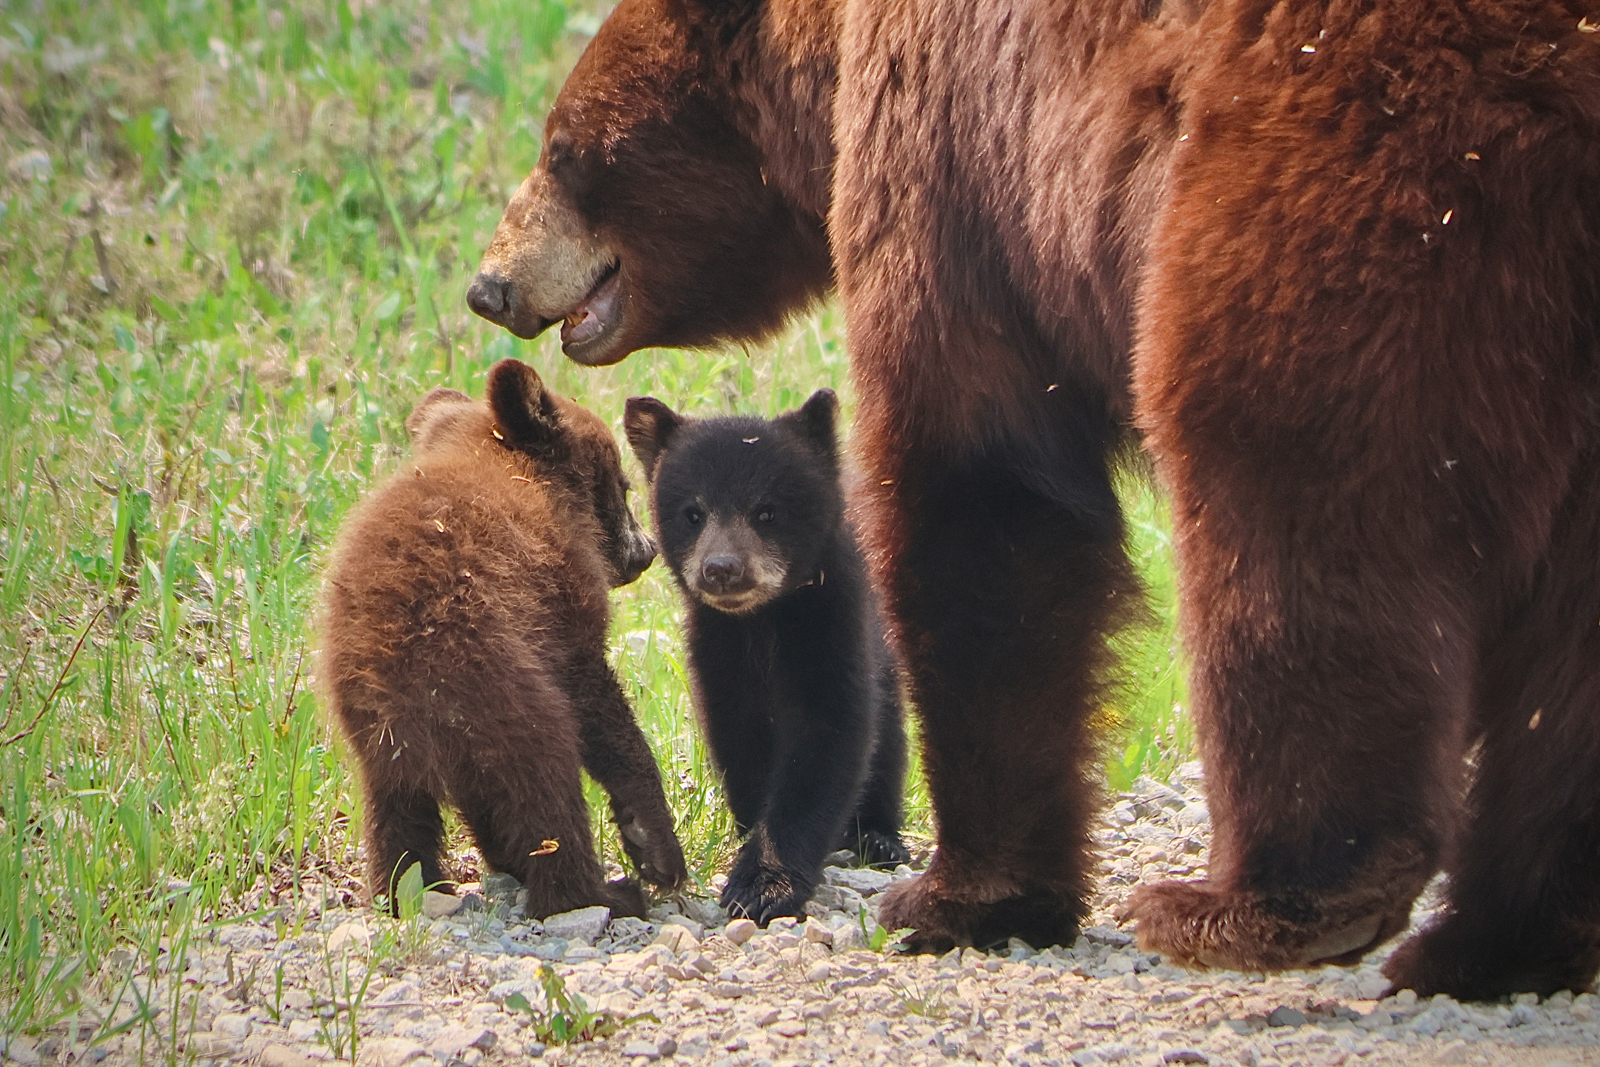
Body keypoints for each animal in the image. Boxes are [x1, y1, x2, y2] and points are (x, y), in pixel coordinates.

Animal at [317, 358, 688, 917]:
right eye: (623, 485)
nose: (646, 552)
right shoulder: (560, 598)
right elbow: (598, 699)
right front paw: (654, 843)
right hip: (503, 692)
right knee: (547, 787)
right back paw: (601, 893)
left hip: (380, 743)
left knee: (401, 817)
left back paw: (410, 890)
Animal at [623, 388, 911, 923]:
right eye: (693, 512)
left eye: (767, 511)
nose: (721, 569)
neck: (761, 622)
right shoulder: (716, 647)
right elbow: (739, 737)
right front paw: (749, 841)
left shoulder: (834, 624)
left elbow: (829, 735)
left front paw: (763, 884)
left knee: (890, 736)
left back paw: (880, 837)